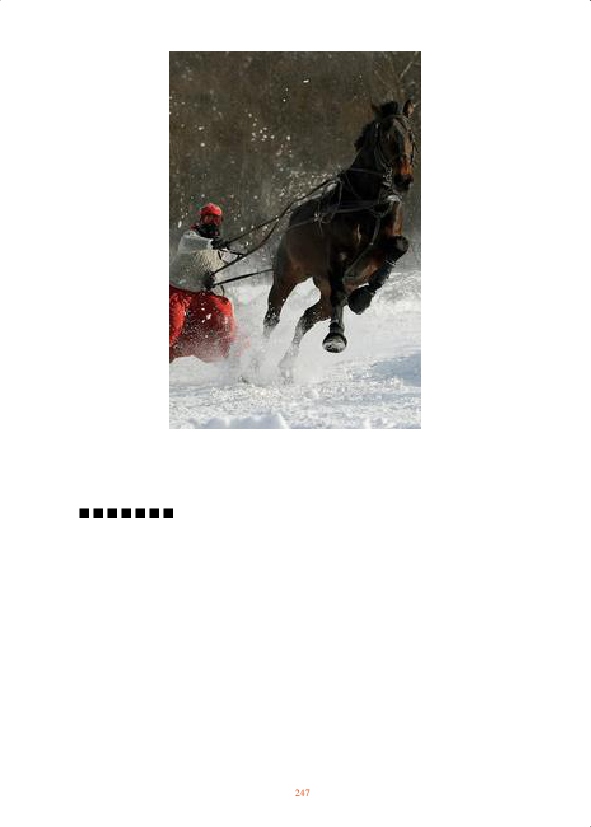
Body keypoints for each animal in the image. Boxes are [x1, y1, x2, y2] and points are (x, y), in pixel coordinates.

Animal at [262, 99, 416, 372]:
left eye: (411, 134)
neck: (370, 204)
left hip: (321, 294)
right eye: (386, 136)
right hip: (287, 275)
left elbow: (399, 246)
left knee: (307, 317)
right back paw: (250, 366)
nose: (403, 179)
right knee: (272, 318)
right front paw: (335, 337)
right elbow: (340, 291)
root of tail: (294, 215)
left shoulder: (382, 248)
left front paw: (362, 299)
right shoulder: (338, 257)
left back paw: (286, 367)